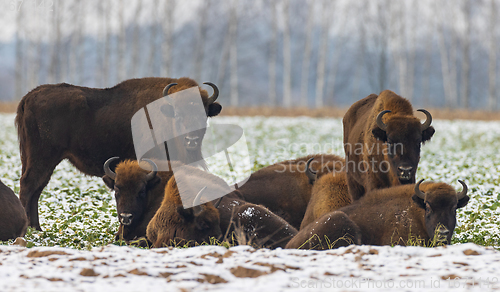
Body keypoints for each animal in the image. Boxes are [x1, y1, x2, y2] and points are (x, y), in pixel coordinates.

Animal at [15, 77, 221, 230]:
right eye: (178, 115)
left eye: (203, 113)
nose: (191, 140)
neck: (165, 116)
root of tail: (29, 96)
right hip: (43, 158)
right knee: (29, 186)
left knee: (36, 189)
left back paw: (37, 228)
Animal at [292, 178, 468, 246]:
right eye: (428, 207)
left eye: (454, 208)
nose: (443, 233)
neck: (418, 214)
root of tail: (291, 243)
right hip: (340, 220)